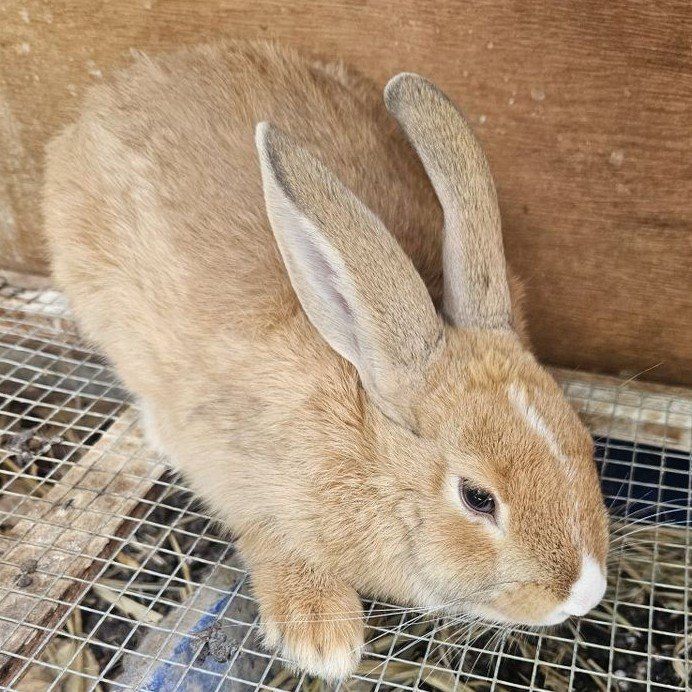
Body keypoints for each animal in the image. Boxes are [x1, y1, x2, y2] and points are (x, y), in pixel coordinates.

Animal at [43, 41, 609, 681]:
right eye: (477, 497)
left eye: (584, 438)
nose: (585, 592)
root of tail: (105, 95)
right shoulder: (235, 469)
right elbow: (268, 535)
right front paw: (321, 636)